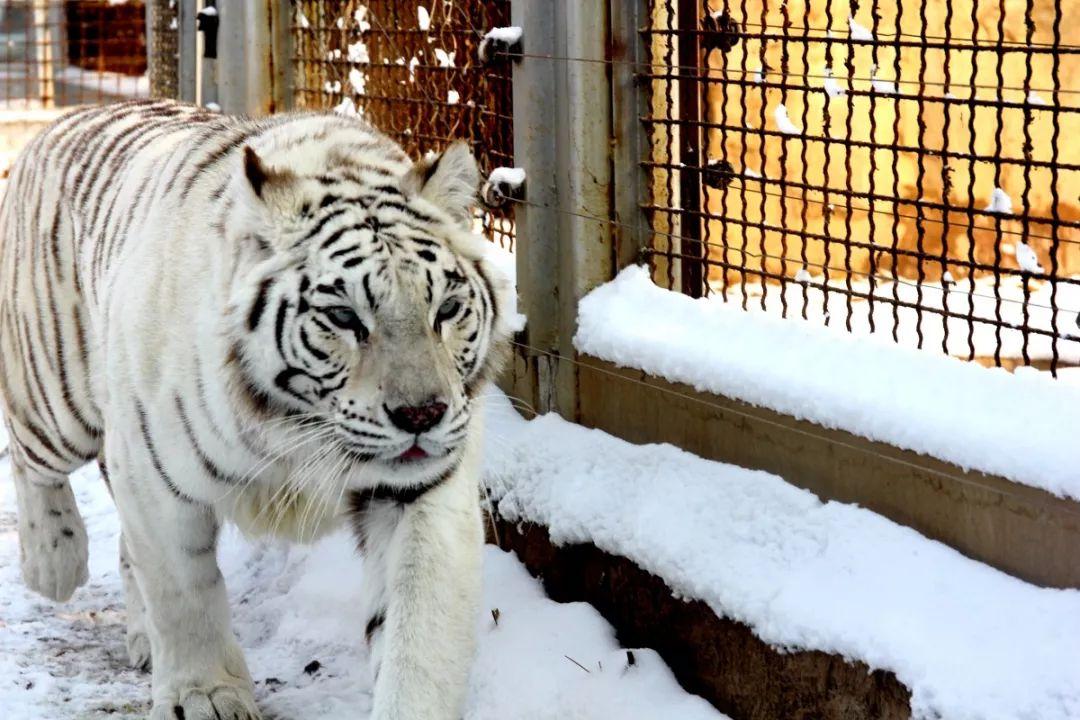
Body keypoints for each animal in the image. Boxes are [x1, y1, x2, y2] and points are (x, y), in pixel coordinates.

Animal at [0, 101, 509, 720]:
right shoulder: (153, 475)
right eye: (344, 317)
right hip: (57, 397)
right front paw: (205, 697)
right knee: (29, 453)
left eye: (449, 309)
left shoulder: (421, 492)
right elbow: (183, 597)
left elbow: (419, 629)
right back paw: (53, 562)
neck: (296, 427)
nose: (422, 415)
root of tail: (59, 122)